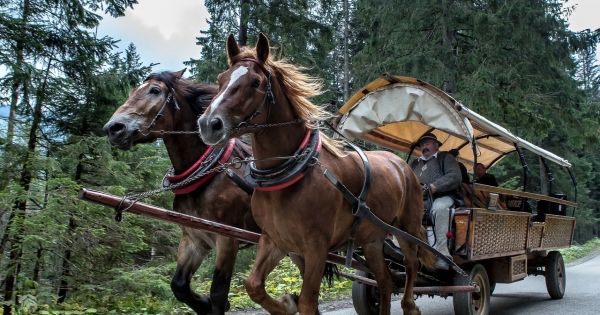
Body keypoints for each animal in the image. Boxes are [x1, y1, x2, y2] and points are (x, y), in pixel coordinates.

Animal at [101, 70, 260, 314]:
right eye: (131, 91)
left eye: (155, 90)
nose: (113, 129)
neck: (210, 173)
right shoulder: (193, 238)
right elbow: (179, 285)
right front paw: (202, 303)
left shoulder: (227, 240)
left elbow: (218, 293)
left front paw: (214, 302)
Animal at [197, 33, 436, 314]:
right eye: (221, 79)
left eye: (255, 82)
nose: (209, 124)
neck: (288, 179)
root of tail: (402, 165)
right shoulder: (275, 240)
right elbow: (253, 285)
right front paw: (286, 304)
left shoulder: (316, 247)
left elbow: (308, 302)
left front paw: (292, 302)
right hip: (372, 239)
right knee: (385, 281)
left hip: (406, 228)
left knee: (411, 265)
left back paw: (410, 304)